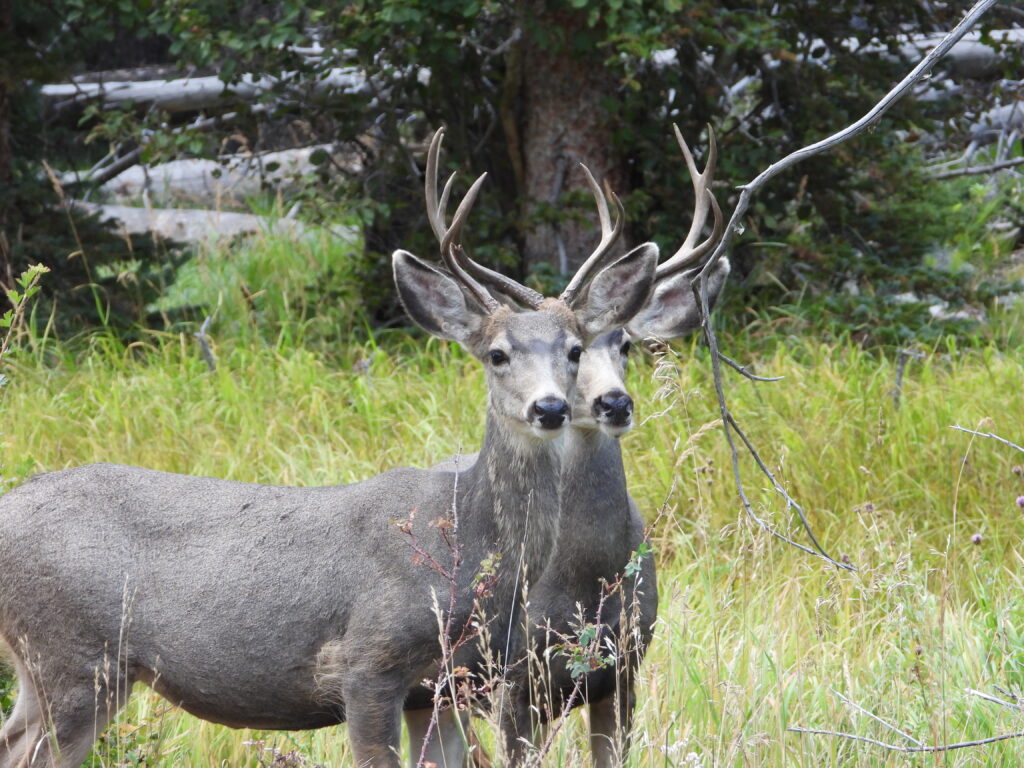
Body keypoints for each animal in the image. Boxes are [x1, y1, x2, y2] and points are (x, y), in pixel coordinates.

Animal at [0, 128, 659, 768]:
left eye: (574, 350)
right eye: (497, 354)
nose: (549, 408)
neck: (464, 537)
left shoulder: (446, 686)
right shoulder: (368, 661)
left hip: (45, 666)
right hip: (75, 656)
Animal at [406, 126, 729, 768]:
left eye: (623, 344)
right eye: (501, 355)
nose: (613, 403)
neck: (580, 586)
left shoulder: (624, 670)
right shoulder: (516, 685)